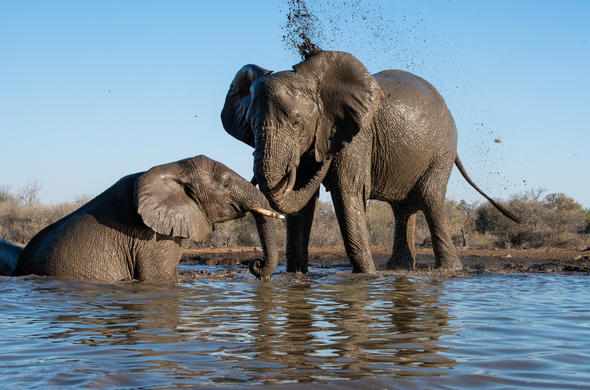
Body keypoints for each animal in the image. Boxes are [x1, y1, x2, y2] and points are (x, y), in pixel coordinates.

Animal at [221, 49, 520, 274]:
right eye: (250, 125)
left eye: (296, 124)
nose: (254, 264)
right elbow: (303, 204)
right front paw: (296, 277)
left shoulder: (357, 137)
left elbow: (348, 191)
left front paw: (367, 277)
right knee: (404, 209)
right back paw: (398, 269)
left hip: (442, 151)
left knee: (431, 199)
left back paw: (449, 271)